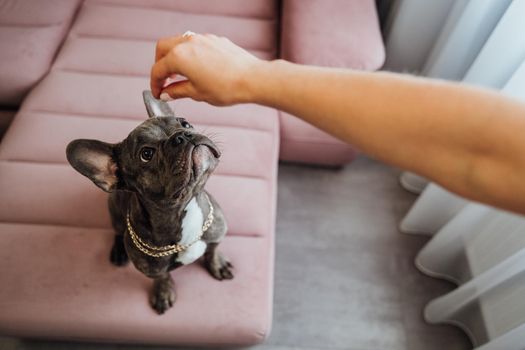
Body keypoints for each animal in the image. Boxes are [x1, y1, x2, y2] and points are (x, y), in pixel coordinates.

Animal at [65, 91, 231, 314]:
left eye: (185, 123)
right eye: (146, 154)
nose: (182, 136)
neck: (182, 207)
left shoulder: (216, 233)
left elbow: (212, 251)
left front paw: (217, 264)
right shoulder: (153, 270)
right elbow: (163, 277)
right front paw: (163, 293)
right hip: (115, 212)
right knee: (117, 231)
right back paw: (119, 252)